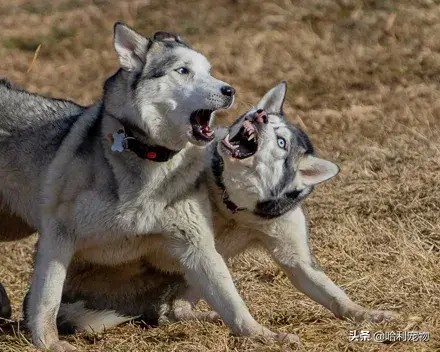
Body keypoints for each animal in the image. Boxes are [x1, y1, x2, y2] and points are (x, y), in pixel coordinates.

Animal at [0, 23, 296, 350]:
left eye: (209, 71)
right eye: (183, 70)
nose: (229, 90)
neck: (149, 158)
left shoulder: (197, 246)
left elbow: (233, 303)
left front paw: (264, 335)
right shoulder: (57, 236)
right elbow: (47, 298)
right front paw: (48, 342)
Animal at [52, 83, 398, 338]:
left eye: (282, 141)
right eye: (262, 116)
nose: (259, 115)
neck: (232, 206)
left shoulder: (295, 257)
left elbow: (334, 294)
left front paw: (366, 314)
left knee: (173, 311)